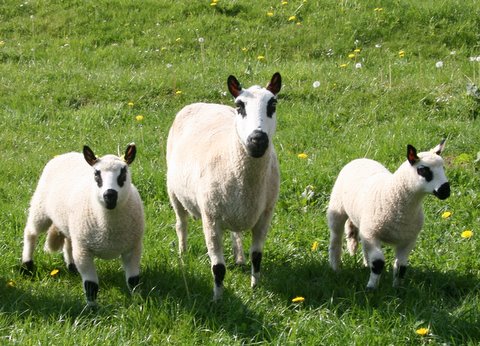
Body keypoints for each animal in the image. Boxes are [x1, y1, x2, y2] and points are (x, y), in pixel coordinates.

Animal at [21, 143, 144, 306]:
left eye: (123, 173)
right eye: (96, 174)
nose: (110, 195)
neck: (109, 226)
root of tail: (65, 154)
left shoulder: (133, 248)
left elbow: (133, 280)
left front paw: (138, 302)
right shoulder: (84, 251)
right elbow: (91, 285)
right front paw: (92, 308)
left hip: (70, 225)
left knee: (68, 242)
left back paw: (72, 267)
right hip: (40, 208)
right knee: (30, 232)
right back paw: (27, 266)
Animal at [168, 71, 284, 298]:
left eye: (272, 104)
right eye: (240, 106)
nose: (257, 140)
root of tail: (201, 103)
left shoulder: (265, 215)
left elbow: (257, 256)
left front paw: (255, 286)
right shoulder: (210, 218)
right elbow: (218, 268)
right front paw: (217, 298)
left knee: (235, 232)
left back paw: (239, 257)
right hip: (173, 191)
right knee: (181, 223)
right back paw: (182, 252)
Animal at [326, 141, 450, 290]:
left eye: (443, 167)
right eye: (423, 170)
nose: (446, 191)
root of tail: (361, 159)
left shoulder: (408, 240)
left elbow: (401, 267)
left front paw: (397, 288)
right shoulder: (372, 234)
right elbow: (378, 263)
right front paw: (371, 288)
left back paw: (365, 265)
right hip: (337, 208)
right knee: (336, 239)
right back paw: (335, 268)